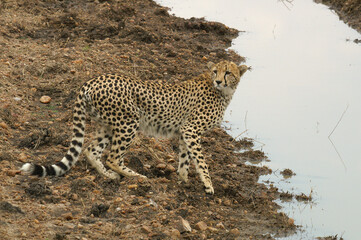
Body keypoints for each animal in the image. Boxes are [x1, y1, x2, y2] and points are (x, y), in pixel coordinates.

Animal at [21, 60, 249, 195]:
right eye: (215, 71)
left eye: (228, 72)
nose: (218, 81)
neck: (223, 92)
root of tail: (93, 80)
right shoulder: (191, 130)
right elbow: (201, 160)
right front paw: (208, 185)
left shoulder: (185, 132)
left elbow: (185, 158)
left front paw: (183, 180)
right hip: (129, 122)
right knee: (113, 157)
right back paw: (136, 176)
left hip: (108, 124)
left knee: (91, 150)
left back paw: (109, 176)